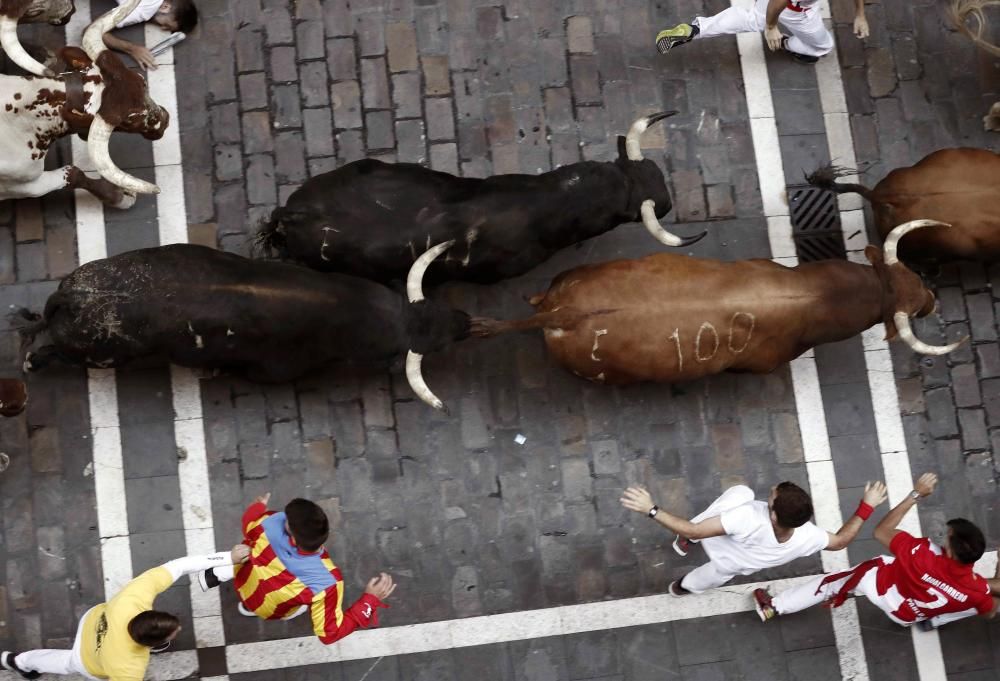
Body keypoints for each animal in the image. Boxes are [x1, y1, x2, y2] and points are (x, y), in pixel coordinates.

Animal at [0, 0, 166, 207]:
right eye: (128, 121)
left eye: (142, 81)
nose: (165, 121)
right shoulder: (22, 186)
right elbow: (73, 173)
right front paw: (120, 197)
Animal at [13, 240, 468, 410]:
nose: (463, 321)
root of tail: (69, 297)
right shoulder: (273, 371)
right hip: (99, 356)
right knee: (51, 354)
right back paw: (33, 363)